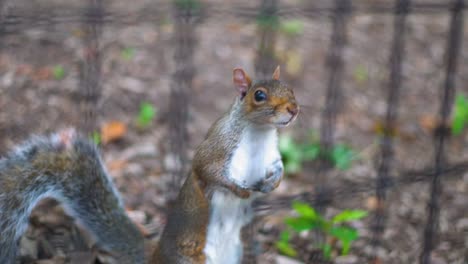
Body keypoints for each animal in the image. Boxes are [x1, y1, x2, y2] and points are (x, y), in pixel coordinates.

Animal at [0, 66, 300, 264]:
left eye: (291, 88)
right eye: (258, 95)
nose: (293, 109)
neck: (259, 134)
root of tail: (155, 256)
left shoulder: (271, 156)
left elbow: (279, 168)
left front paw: (273, 183)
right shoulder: (217, 148)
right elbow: (208, 171)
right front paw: (239, 190)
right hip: (190, 258)